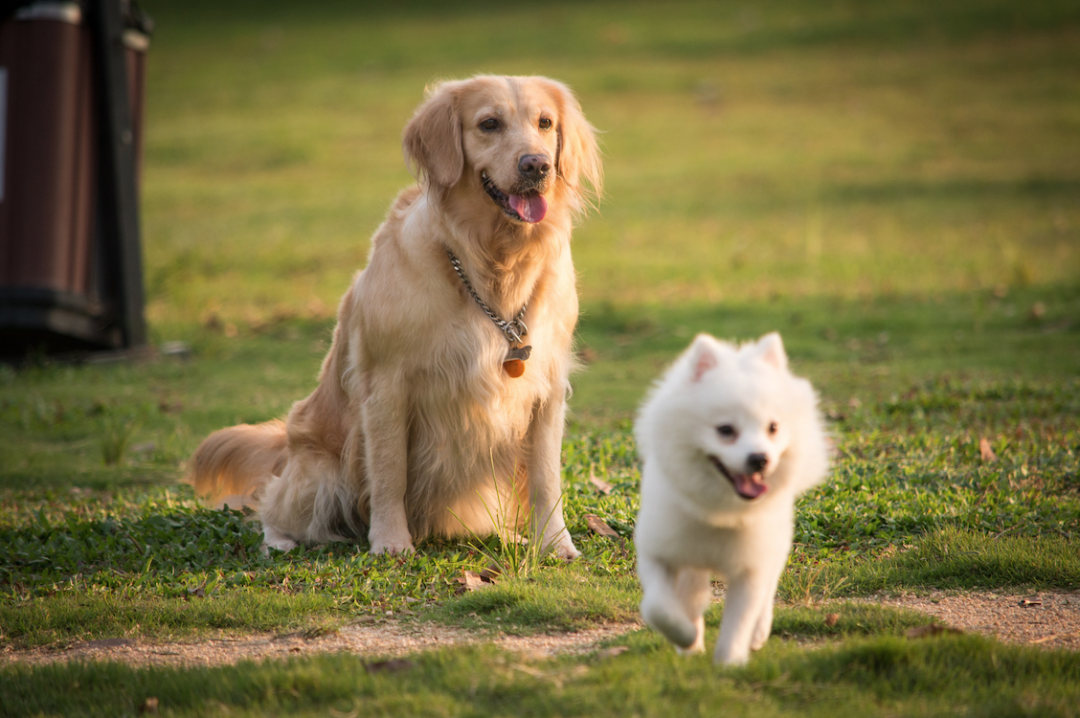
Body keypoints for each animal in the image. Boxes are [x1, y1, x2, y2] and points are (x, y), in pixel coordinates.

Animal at [630, 332, 825, 665]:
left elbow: (740, 620)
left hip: (776, 544)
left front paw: (729, 663)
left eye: (773, 428)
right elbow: (658, 608)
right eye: (725, 430)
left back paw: (759, 633)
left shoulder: (751, 567)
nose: (760, 459)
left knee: (768, 591)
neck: (720, 512)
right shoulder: (659, 553)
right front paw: (686, 636)